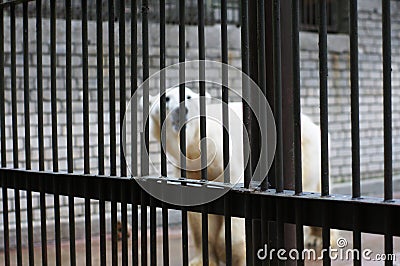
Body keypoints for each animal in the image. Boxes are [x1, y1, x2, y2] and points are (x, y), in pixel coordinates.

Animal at [147, 87, 334, 264]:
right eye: (166, 98)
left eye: (188, 96)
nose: (181, 110)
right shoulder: (188, 170)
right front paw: (202, 260)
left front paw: (232, 253)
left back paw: (317, 239)